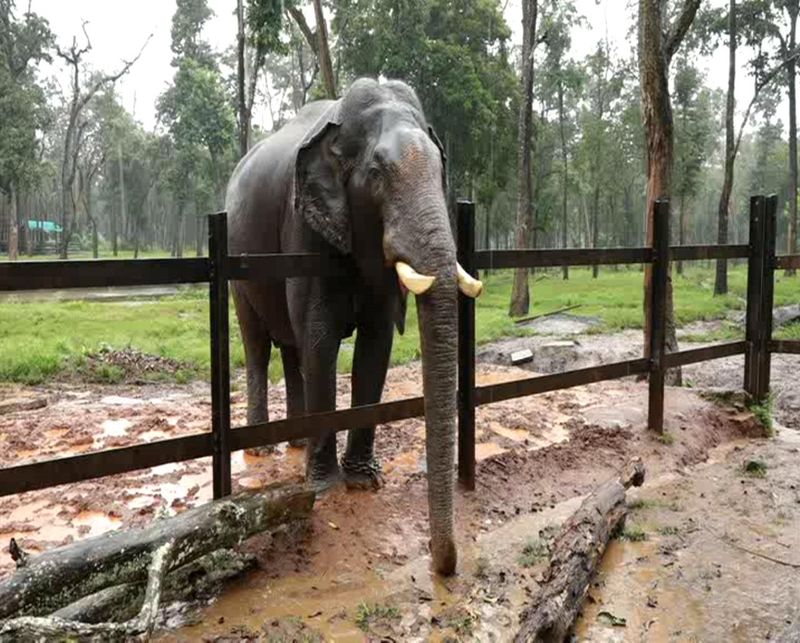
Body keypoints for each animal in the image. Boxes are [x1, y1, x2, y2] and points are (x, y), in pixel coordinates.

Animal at [228, 78, 482, 576]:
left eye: (441, 171)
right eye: (377, 173)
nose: (443, 565)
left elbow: (375, 346)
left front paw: (365, 481)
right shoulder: (305, 230)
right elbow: (321, 341)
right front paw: (323, 486)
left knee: (291, 350)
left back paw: (295, 446)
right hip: (237, 261)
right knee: (258, 344)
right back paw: (264, 450)